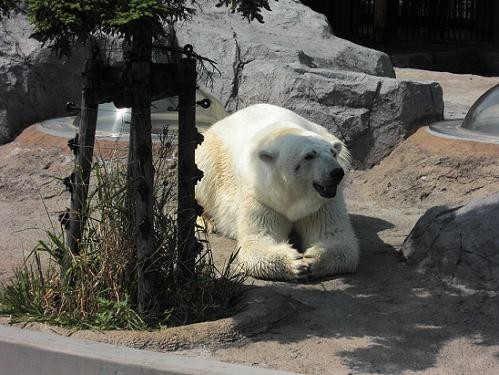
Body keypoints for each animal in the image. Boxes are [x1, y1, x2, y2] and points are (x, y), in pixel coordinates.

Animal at [195, 104, 360, 280]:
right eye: (309, 156)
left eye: (332, 153)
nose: (336, 173)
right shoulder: (261, 195)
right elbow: (260, 238)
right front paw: (296, 263)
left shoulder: (321, 203)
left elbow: (334, 236)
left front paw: (312, 260)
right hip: (212, 153)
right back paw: (205, 221)